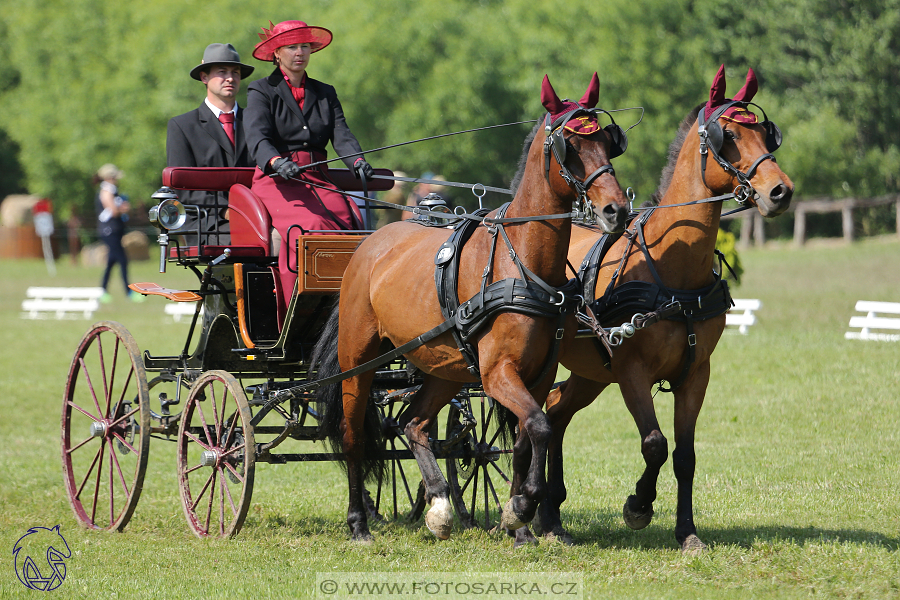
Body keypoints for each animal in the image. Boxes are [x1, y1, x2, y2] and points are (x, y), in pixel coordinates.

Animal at [320, 72, 628, 540]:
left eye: (609, 143)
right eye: (570, 147)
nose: (617, 210)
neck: (521, 261)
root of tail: (369, 246)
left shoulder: (538, 375)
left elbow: (525, 438)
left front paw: (519, 523)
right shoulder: (498, 372)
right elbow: (539, 426)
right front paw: (522, 506)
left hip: (443, 367)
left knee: (413, 424)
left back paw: (439, 505)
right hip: (358, 361)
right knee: (354, 434)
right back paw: (359, 522)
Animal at [532, 65, 792, 552]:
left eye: (766, 135)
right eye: (728, 135)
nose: (780, 191)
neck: (672, 273)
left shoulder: (695, 373)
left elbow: (684, 455)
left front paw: (687, 532)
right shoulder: (631, 370)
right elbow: (653, 442)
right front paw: (638, 505)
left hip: (591, 373)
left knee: (555, 413)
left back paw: (550, 515)